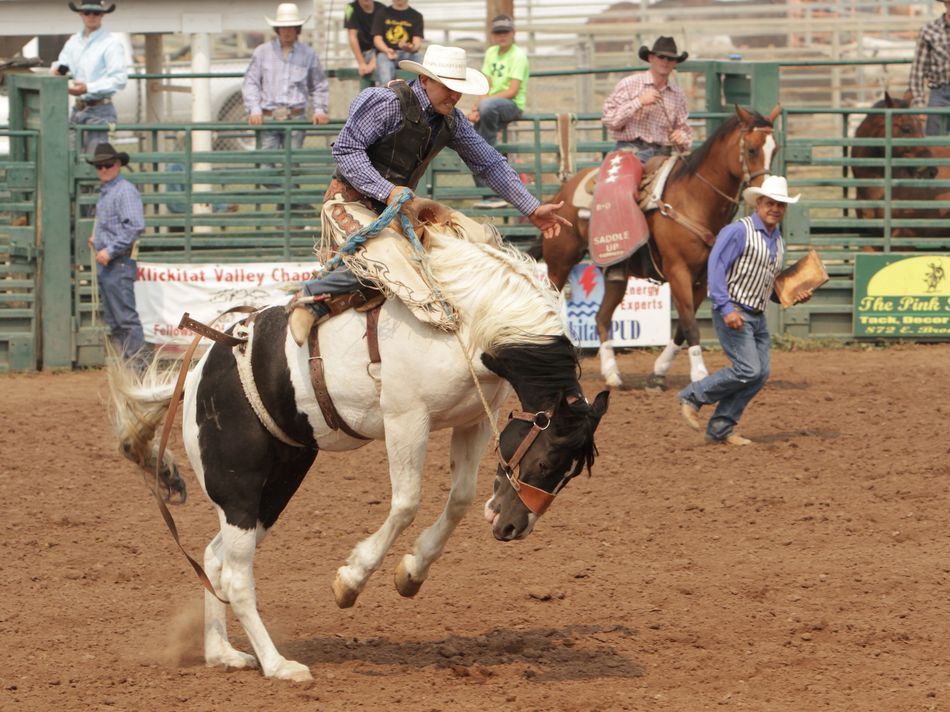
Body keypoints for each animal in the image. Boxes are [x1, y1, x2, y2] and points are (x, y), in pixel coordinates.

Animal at [107, 214, 609, 682]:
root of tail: (197, 373)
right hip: (239, 487)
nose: (513, 527)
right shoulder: (406, 418)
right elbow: (406, 502)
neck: (465, 322)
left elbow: (461, 497)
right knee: (235, 575)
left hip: (276, 484)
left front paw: (411, 573)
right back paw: (279, 665)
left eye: (568, 473)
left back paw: (222, 653)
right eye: (545, 460)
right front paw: (350, 581)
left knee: (215, 560)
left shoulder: (472, 422)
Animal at [540, 104, 780, 389]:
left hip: (616, 276)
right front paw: (699, 374)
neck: (694, 199)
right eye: (752, 149)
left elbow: (682, 327)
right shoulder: (678, 271)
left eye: (775, 150)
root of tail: (560, 194)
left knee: (601, 318)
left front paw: (658, 372)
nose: (765, 194)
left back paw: (612, 374)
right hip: (559, 264)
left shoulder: (704, 278)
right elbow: (690, 324)